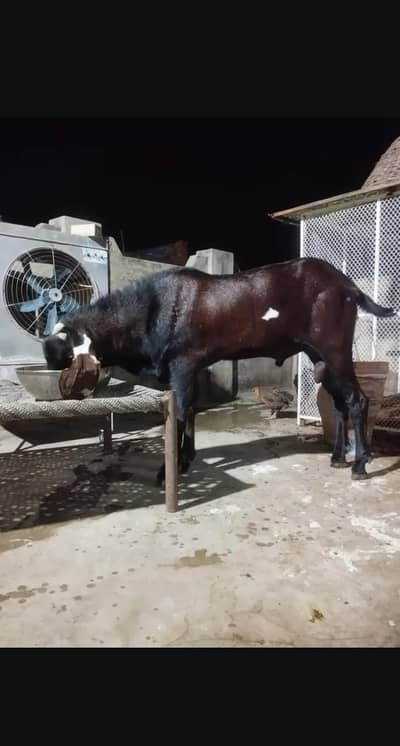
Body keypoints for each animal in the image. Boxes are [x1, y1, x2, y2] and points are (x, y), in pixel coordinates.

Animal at [42, 257, 395, 482]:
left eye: (63, 354)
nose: (59, 387)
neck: (152, 308)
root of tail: (347, 284)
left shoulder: (182, 365)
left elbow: (181, 414)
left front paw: (170, 470)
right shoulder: (188, 371)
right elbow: (190, 413)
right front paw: (187, 459)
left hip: (334, 350)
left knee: (358, 400)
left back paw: (359, 465)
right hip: (319, 355)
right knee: (339, 403)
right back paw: (337, 458)